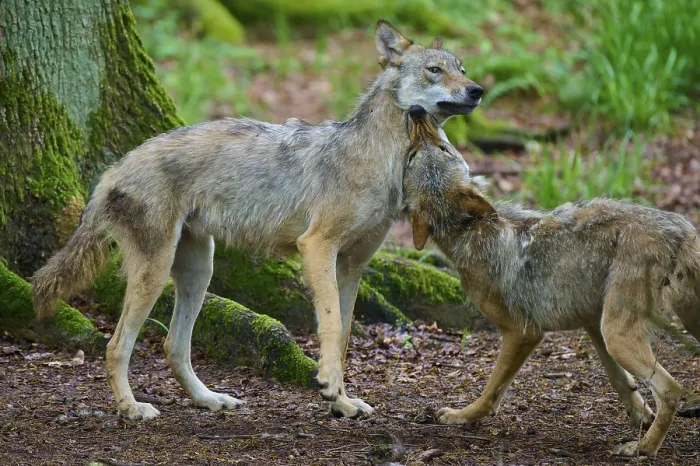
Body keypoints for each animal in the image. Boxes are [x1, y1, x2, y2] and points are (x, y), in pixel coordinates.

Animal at [31, 21, 483, 421]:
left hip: (199, 269)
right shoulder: (316, 246)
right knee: (116, 347)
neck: (381, 158)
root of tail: (116, 166)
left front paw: (343, 403)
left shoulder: (353, 265)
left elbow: (345, 335)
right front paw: (328, 388)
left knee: (173, 347)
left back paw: (210, 400)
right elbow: (331, 326)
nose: (478, 90)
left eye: (461, 68)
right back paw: (132, 409)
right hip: (155, 272)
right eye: (435, 69)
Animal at [402, 106, 700, 457]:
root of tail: (680, 229)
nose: (417, 110)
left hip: (618, 334)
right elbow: (621, 382)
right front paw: (640, 416)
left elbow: (491, 390)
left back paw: (642, 449)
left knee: (671, 389)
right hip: (644, 325)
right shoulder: (591, 322)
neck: (467, 230)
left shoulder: (524, 332)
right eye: (412, 155)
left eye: (443, 148)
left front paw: (463, 416)